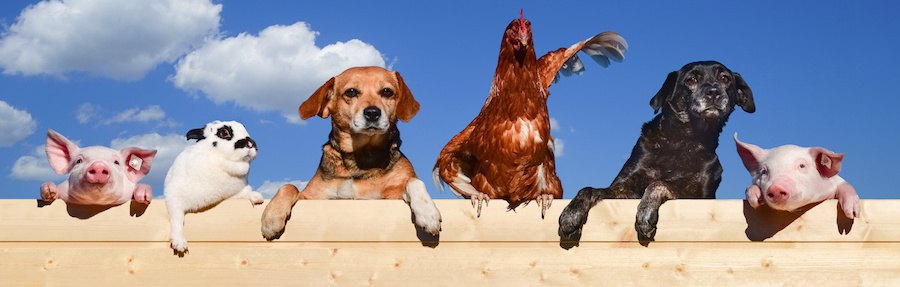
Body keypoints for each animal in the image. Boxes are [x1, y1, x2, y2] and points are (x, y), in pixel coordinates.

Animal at [165, 120, 264, 255]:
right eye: (224, 132)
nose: (250, 144)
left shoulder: (232, 194)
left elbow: (243, 193)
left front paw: (257, 197)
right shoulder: (174, 196)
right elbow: (177, 218)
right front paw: (179, 244)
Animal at [260, 66, 442, 240]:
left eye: (387, 92)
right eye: (351, 92)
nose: (372, 113)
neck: (360, 158)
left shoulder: (392, 196)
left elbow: (414, 181)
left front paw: (428, 213)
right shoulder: (313, 198)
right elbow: (289, 186)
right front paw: (271, 217)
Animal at [560, 60, 756, 245]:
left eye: (725, 78)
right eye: (691, 80)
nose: (714, 92)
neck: (682, 141)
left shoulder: (700, 197)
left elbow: (659, 183)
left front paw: (646, 211)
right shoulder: (624, 188)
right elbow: (588, 189)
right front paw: (571, 214)